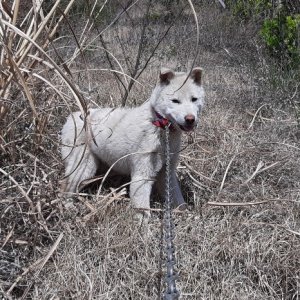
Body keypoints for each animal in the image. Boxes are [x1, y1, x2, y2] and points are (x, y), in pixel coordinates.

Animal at [62, 68, 205, 220]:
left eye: (194, 99)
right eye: (175, 101)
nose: (190, 119)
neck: (159, 125)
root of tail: (72, 116)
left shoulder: (167, 171)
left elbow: (176, 198)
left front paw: (187, 214)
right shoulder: (142, 173)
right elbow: (142, 206)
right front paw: (144, 224)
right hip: (83, 167)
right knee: (65, 186)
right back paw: (68, 206)